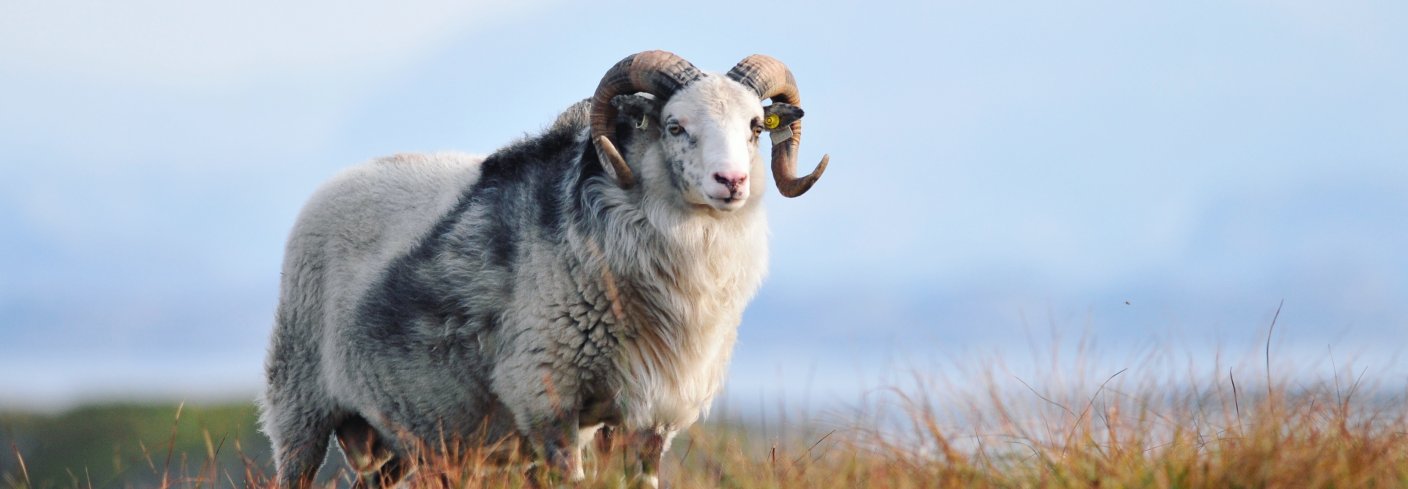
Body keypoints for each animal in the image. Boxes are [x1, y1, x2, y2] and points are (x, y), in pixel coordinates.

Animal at [261, 51, 822, 487]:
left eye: (755, 128)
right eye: (675, 126)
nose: (732, 182)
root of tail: (341, 179)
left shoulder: (651, 415)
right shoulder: (547, 400)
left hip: (398, 436)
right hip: (299, 409)